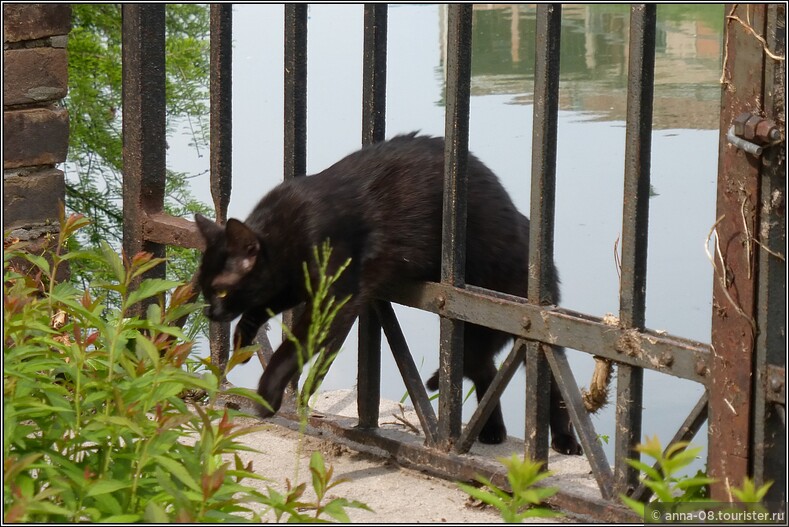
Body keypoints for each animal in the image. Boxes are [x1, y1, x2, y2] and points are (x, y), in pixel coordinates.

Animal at [195, 133, 580, 454]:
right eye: (204, 289)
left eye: (222, 292)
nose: (210, 312)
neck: (283, 233)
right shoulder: (293, 283)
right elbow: (265, 305)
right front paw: (243, 338)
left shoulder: (336, 295)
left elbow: (294, 347)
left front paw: (268, 395)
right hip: (476, 333)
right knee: (485, 370)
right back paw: (492, 432)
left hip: (510, 320)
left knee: (547, 383)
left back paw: (565, 441)